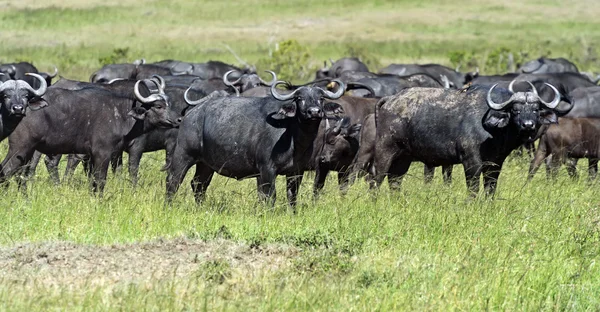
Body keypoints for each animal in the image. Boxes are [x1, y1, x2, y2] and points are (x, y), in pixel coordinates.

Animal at [168, 80, 346, 210]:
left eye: (321, 98)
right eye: (299, 98)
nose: (314, 112)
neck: (294, 138)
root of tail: (191, 114)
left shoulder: (296, 172)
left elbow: (292, 196)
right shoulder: (267, 169)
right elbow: (269, 196)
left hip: (205, 164)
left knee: (199, 184)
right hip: (183, 155)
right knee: (173, 181)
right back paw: (168, 206)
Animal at [372, 80, 568, 195]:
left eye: (535, 109)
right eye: (515, 110)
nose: (528, 125)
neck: (494, 132)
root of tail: (390, 99)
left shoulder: (495, 165)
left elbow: (490, 190)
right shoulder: (471, 163)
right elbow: (473, 189)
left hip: (403, 159)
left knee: (395, 182)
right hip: (384, 152)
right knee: (376, 180)